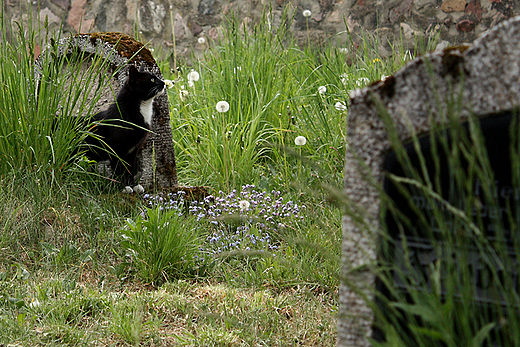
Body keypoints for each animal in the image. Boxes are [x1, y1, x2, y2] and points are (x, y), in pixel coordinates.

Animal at [85, 64, 166, 192]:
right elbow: (119, 169)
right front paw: (122, 187)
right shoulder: (116, 149)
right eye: (152, 79)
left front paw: (133, 186)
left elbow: (130, 169)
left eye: (156, 77)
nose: (163, 82)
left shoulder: (133, 150)